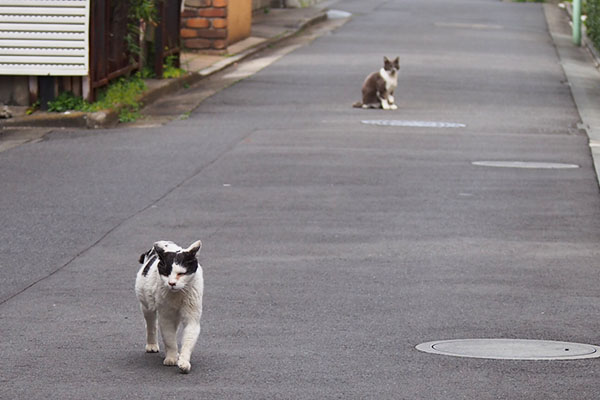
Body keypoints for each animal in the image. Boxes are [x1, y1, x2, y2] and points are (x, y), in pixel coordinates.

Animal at [135, 239, 203, 374]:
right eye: (166, 273)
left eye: (181, 273)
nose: (171, 283)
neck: (178, 295)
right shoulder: (166, 317)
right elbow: (169, 339)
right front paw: (171, 358)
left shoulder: (192, 317)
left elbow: (188, 341)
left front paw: (183, 362)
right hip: (147, 306)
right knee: (151, 325)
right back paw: (152, 345)